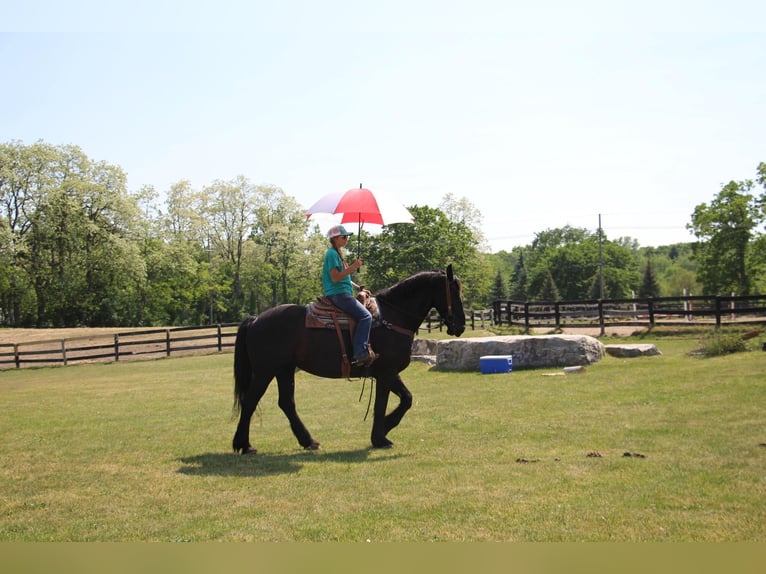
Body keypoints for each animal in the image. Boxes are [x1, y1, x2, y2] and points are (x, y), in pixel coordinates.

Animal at [231, 264, 464, 454]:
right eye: (454, 291)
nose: (460, 325)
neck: (392, 317)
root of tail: (255, 319)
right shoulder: (386, 373)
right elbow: (382, 404)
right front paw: (380, 437)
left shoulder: (388, 373)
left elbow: (406, 398)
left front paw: (385, 427)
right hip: (265, 371)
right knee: (250, 401)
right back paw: (244, 445)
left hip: (284, 370)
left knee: (286, 403)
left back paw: (308, 441)